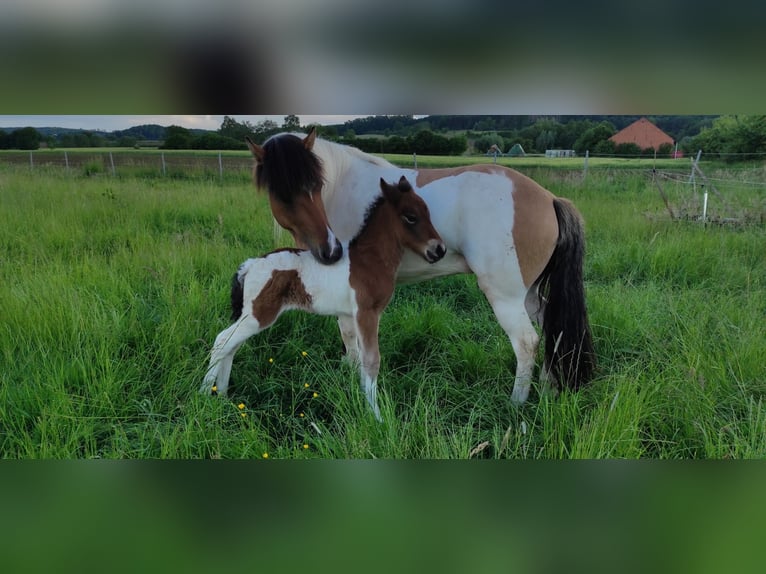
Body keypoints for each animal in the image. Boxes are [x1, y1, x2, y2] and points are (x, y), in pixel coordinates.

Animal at [201, 175, 446, 421]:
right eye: (411, 217)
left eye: (428, 213)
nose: (439, 250)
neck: (369, 260)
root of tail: (250, 265)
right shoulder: (367, 312)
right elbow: (371, 360)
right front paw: (376, 415)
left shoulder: (349, 315)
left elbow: (355, 355)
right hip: (258, 315)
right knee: (222, 341)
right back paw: (204, 393)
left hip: (249, 315)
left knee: (232, 346)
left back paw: (222, 394)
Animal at [246, 128, 596, 405]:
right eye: (284, 194)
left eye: (316, 185)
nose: (331, 250)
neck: (341, 188)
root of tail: (549, 198)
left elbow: (349, 335)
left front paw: (352, 376)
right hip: (529, 294)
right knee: (554, 329)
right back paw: (549, 389)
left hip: (506, 297)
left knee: (526, 342)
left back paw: (516, 404)